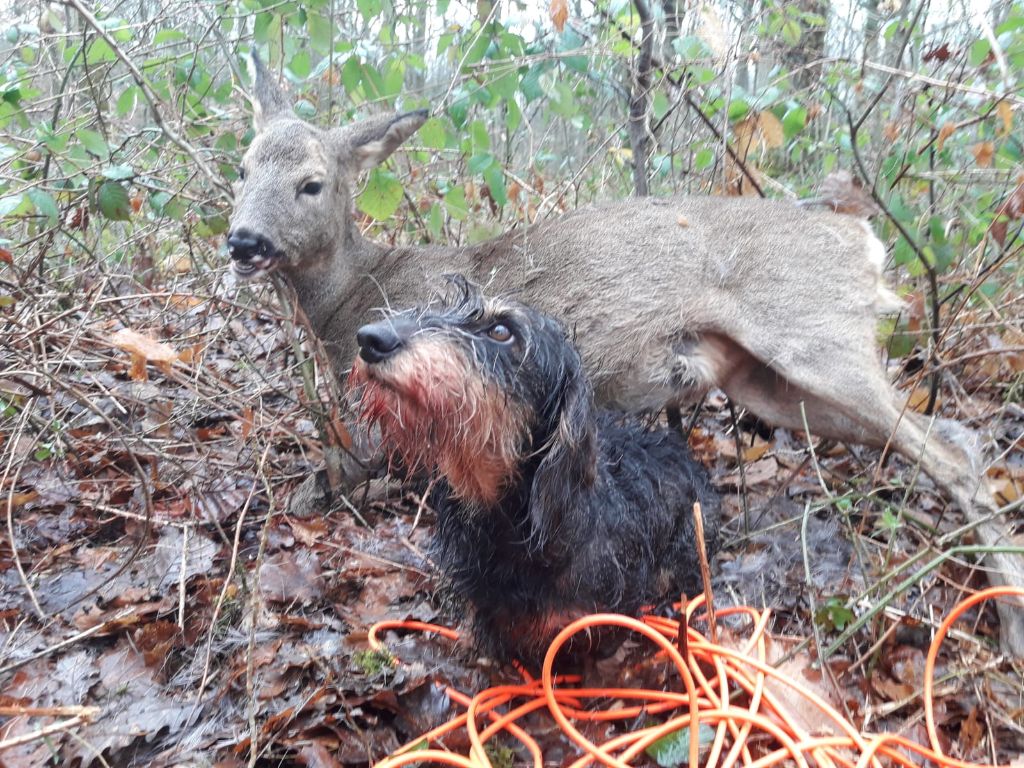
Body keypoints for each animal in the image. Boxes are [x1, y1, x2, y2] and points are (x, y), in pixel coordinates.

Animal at [228, 52, 1019, 655]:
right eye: (242, 168)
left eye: (312, 183)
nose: (243, 241)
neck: (353, 299)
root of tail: (863, 241)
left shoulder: (382, 432)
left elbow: (315, 485)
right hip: (770, 382)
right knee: (956, 437)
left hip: (815, 336)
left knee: (946, 454)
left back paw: (1008, 619)